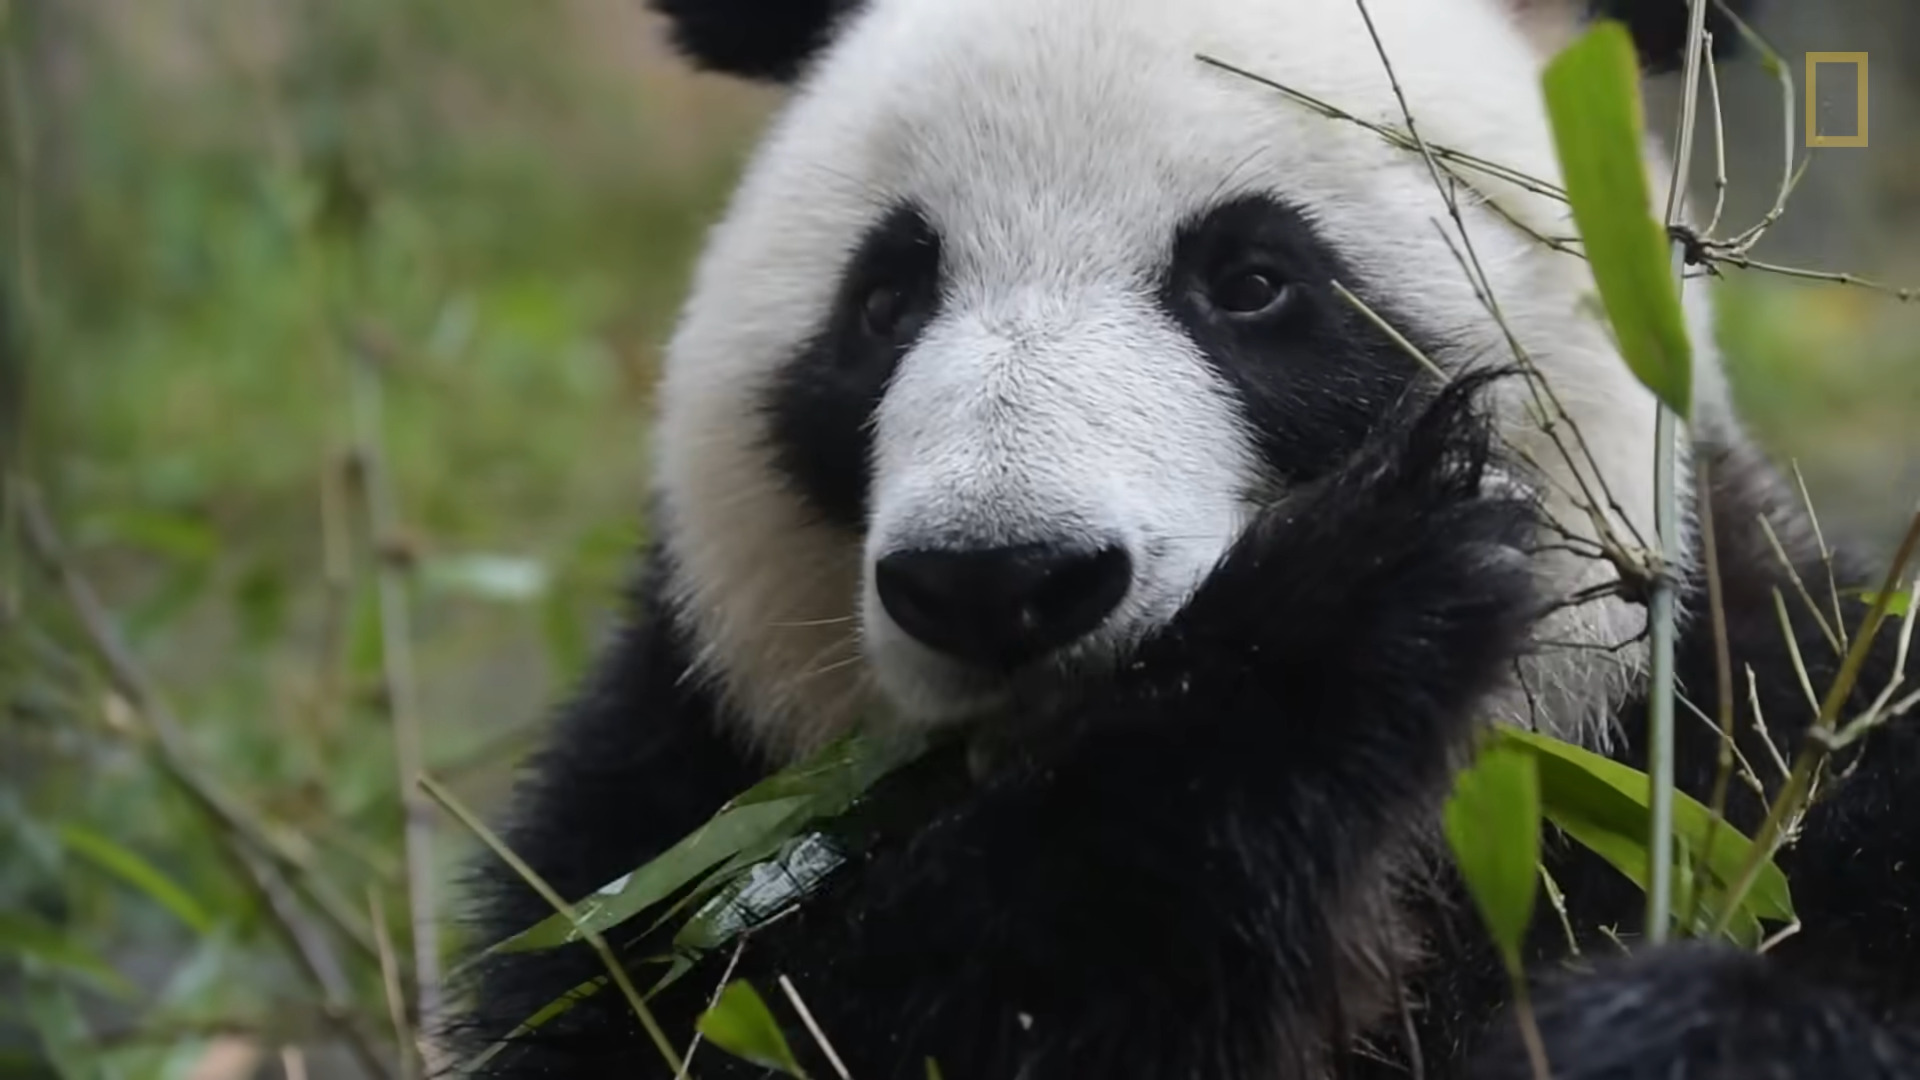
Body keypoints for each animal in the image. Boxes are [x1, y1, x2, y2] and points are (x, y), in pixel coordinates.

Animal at [449, 0, 1920, 1068]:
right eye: (886, 301)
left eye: (1253, 282)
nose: (1003, 583)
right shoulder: (667, 818)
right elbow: (808, 1016)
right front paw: (1339, 614)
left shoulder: (1743, 714)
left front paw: (1668, 1031)